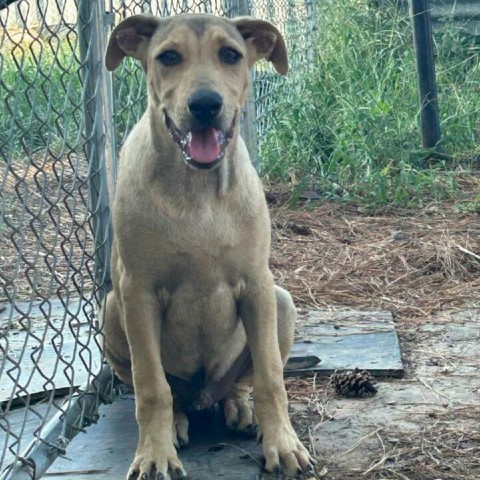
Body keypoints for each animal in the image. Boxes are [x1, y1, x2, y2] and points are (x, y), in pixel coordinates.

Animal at [102, 12, 316, 480]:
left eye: (231, 55)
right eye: (168, 57)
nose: (205, 105)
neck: (196, 190)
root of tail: (204, 396)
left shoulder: (257, 285)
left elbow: (271, 377)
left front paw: (283, 444)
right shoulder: (137, 291)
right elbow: (151, 387)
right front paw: (154, 454)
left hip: (282, 300)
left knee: (238, 383)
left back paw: (242, 409)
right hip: (111, 309)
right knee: (171, 393)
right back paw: (178, 422)